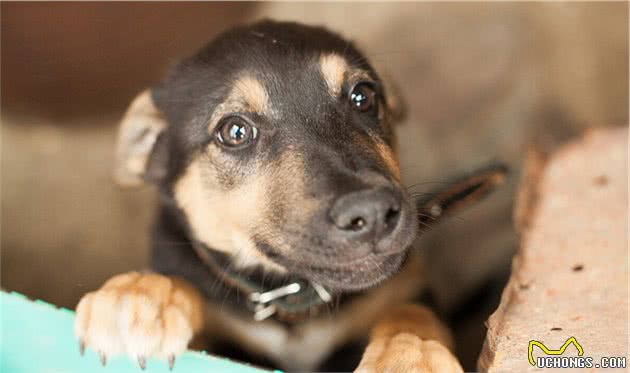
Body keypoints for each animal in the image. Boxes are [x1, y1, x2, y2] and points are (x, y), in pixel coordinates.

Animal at [75, 20, 508, 372]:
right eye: (235, 131)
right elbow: (182, 287)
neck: (295, 300)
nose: (371, 213)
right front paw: (137, 297)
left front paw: (410, 356)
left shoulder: (405, 286)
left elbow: (411, 312)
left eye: (362, 96)